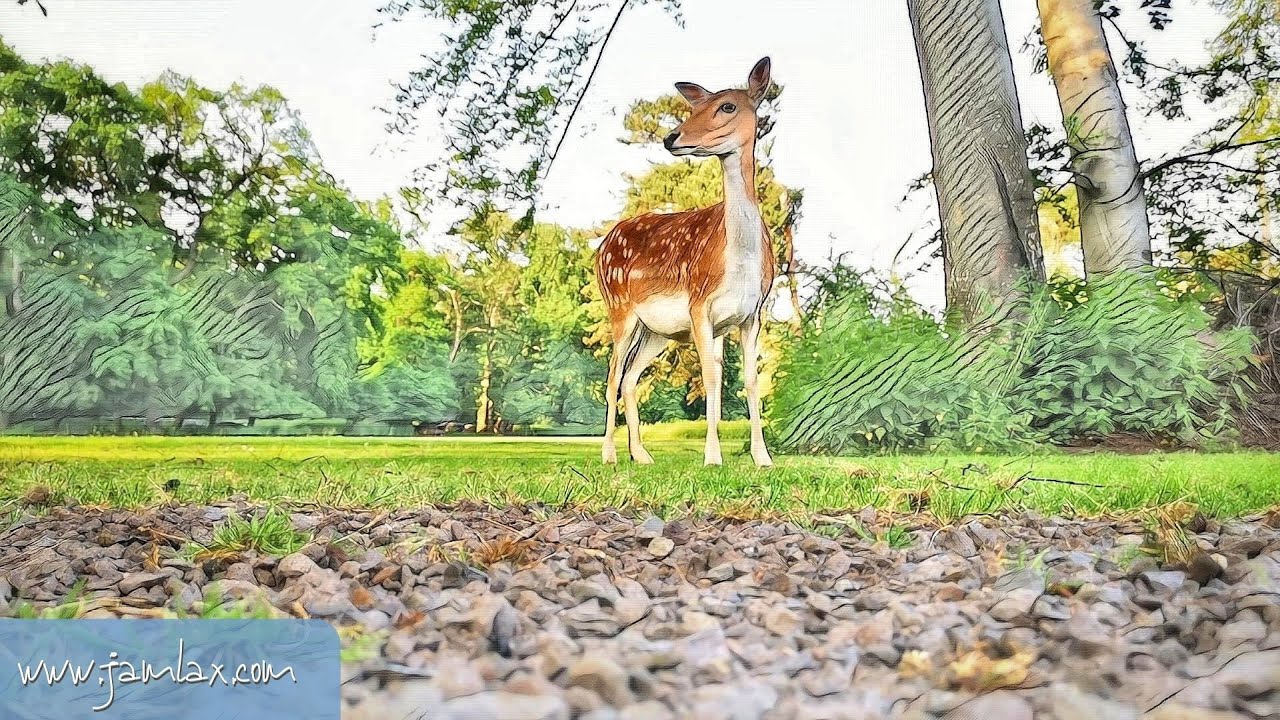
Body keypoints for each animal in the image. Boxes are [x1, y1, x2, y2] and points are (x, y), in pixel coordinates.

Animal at [596, 57, 777, 468]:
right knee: (612, 376)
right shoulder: (699, 303)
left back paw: (642, 455)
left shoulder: (751, 313)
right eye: (694, 108)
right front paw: (712, 458)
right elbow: (710, 378)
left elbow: (748, 381)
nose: (672, 137)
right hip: (619, 307)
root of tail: (601, 245)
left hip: (657, 331)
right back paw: (609, 455)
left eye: (727, 106)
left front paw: (762, 458)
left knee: (629, 378)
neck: (740, 261)